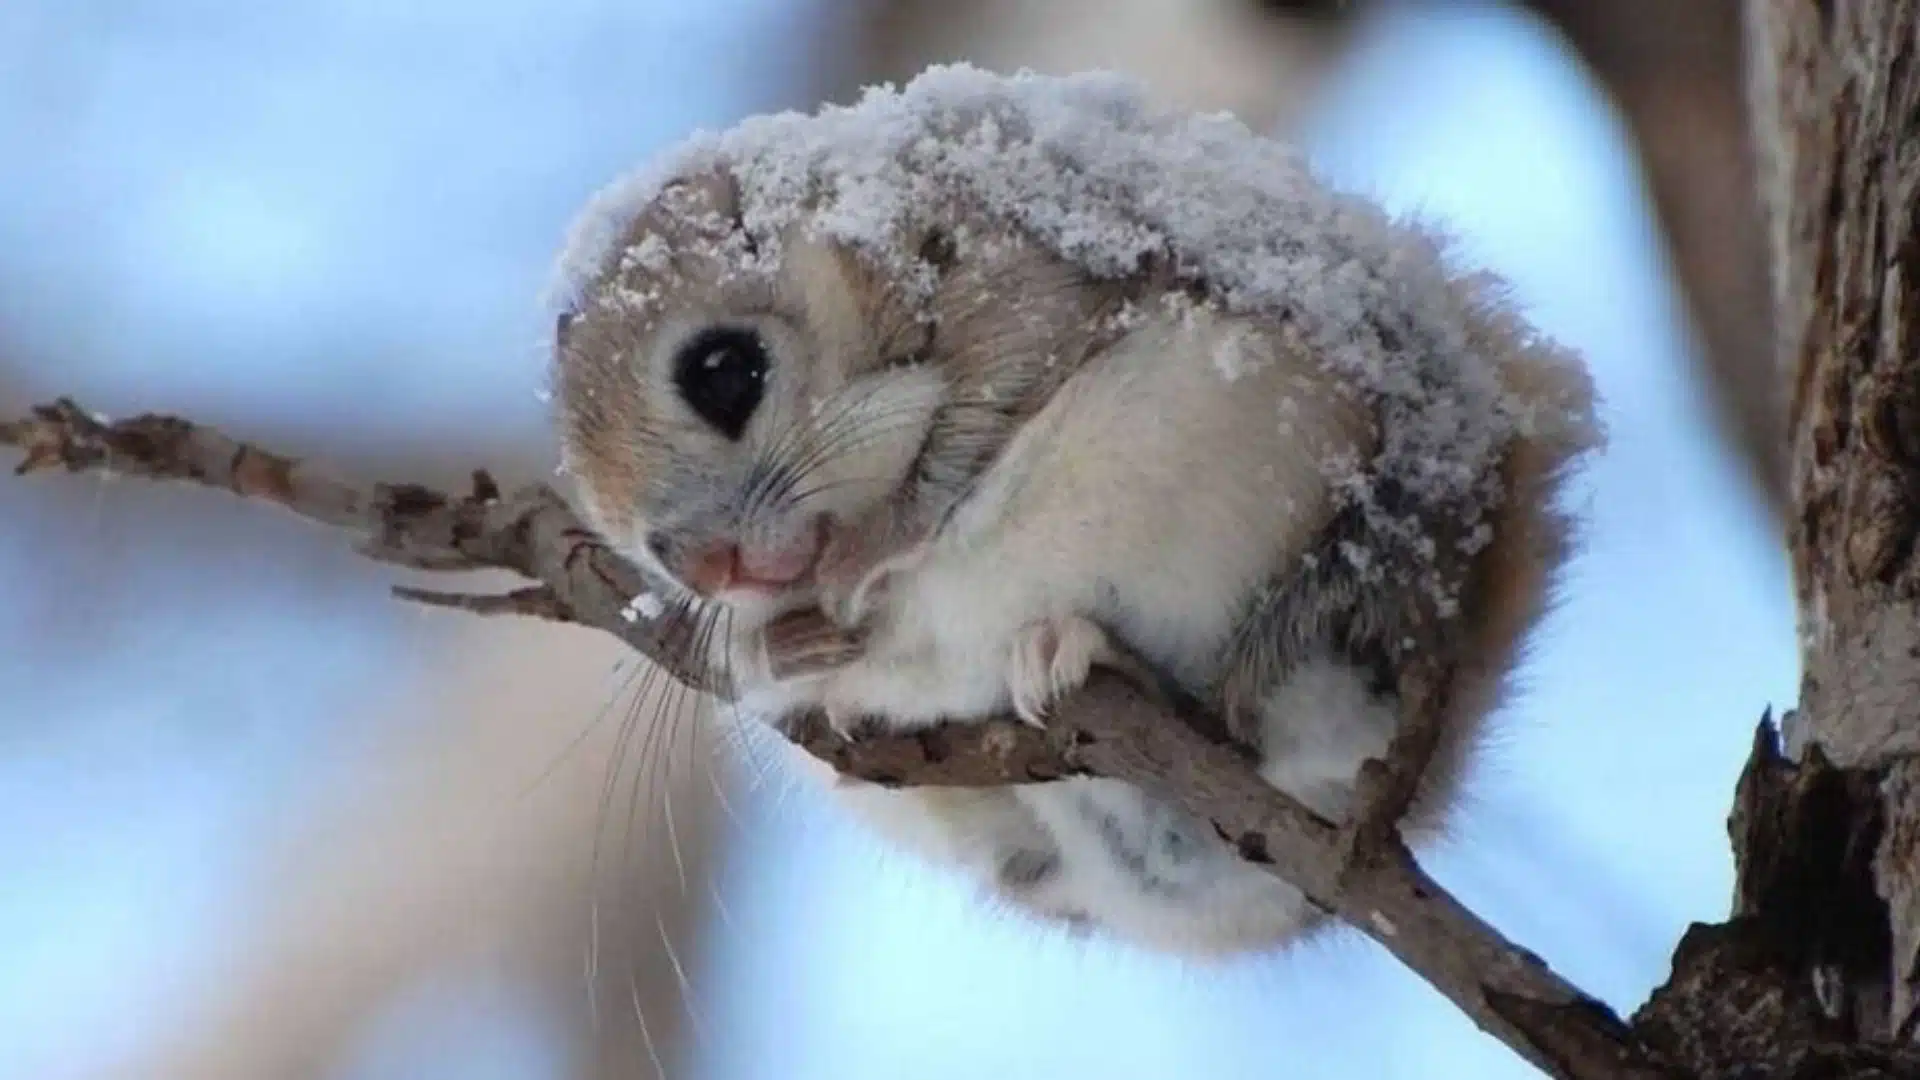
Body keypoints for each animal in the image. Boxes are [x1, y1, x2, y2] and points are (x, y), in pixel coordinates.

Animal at [549, 64, 1601, 958]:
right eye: (632, 537)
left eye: (724, 371)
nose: (707, 568)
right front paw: (775, 644)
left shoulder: (1024, 285)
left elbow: (972, 430)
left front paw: (867, 561)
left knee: (1249, 724)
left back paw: (1084, 652)